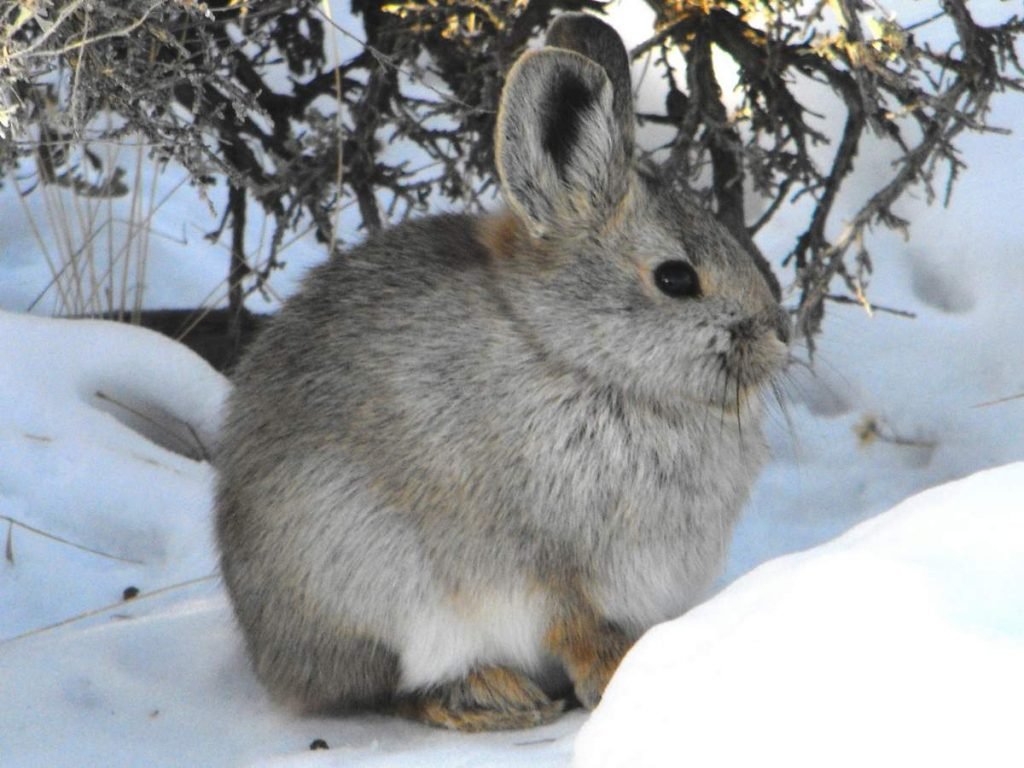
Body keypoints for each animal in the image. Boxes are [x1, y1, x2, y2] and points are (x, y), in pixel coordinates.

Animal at [216, 12, 790, 733]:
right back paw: (496, 697)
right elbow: (576, 626)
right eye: (676, 279)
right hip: (372, 577)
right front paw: (618, 676)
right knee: (395, 687)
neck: (576, 357)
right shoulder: (549, 565)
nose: (776, 337)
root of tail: (267, 652)